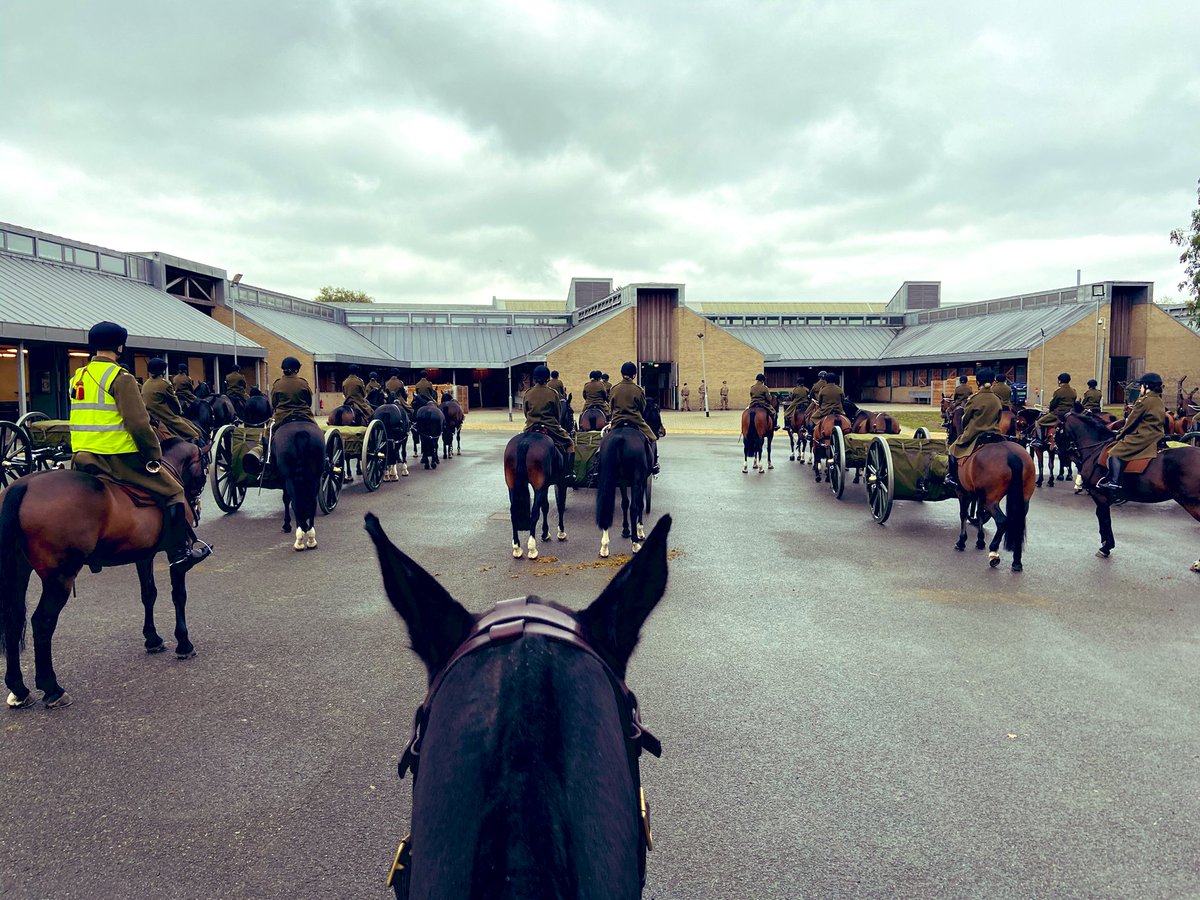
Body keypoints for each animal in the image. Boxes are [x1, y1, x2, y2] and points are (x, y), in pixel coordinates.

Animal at [0, 441, 204, 715]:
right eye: (203, 463)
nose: (196, 502)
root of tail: (22, 486)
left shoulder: (144, 556)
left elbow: (148, 595)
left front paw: (152, 639)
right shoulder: (175, 553)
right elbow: (178, 596)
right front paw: (184, 643)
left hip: (18, 572)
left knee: (12, 619)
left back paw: (19, 689)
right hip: (59, 579)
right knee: (42, 622)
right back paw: (52, 688)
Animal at [595, 424, 652, 556]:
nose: (662, 431)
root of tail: (620, 438)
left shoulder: (622, 482)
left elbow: (624, 503)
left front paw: (626, 530)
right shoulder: (641, 481)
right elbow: (639, 505)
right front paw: (640, 531)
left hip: (608, 478)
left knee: (606, 505)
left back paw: (604, 545)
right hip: (636, 481)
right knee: (634, 508)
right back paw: (635, 543)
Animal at [1060, 415, 1200, 571]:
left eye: (1059, 428)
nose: (1057, 450)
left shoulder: (1099, 495)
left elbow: (1104, 518)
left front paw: (1106, 547)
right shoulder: (1104, 497)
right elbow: (1101, 517)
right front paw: (1105, 542)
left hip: (1192, 503)